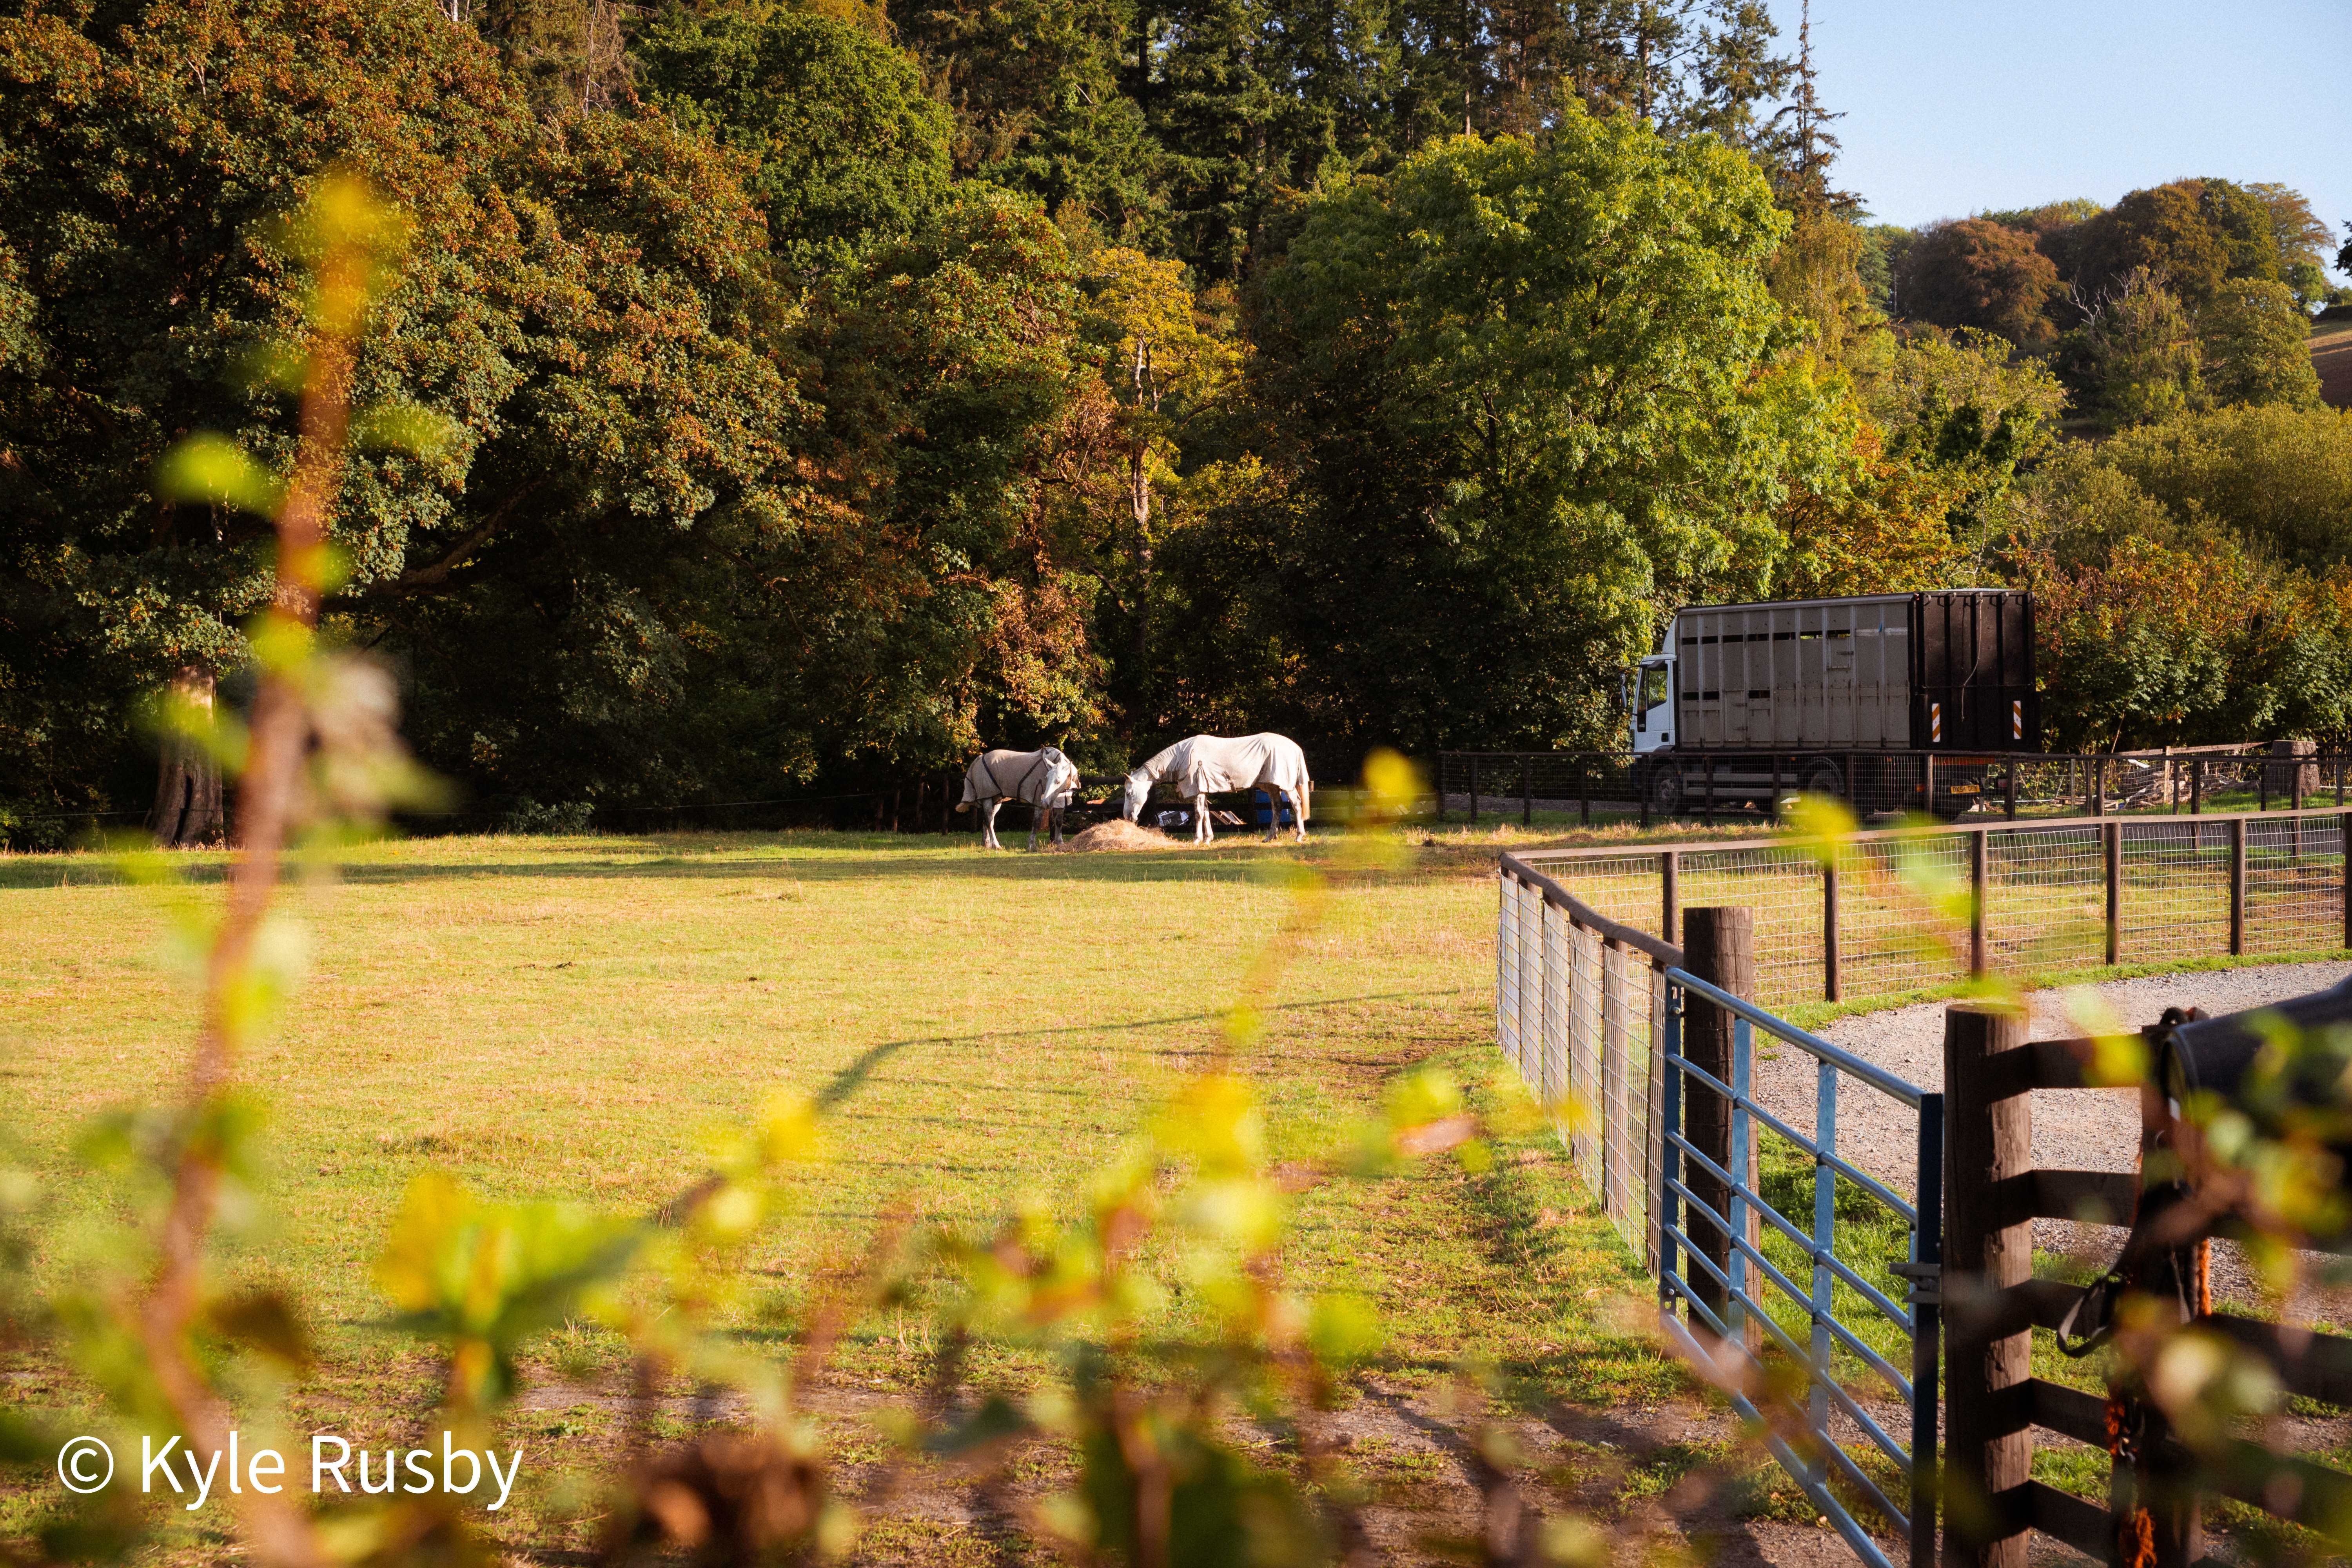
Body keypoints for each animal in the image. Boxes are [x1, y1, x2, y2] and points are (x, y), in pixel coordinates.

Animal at [958, 747, 1081, 850]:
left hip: (995, 799)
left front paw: (1060, 843)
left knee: (987, 820)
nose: (1045, 802)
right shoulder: (1038, 802)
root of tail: (980, 759)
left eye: (1058, 782)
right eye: (1046, 778)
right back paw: (996, 845)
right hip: (987, 798)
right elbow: (1037, 823)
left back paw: (987, 844)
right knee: (989, 821)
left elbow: (1059, 822)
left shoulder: (1061, 802)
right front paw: (1032, 846)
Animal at [1122, 734, 1311, 844]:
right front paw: (1208, 840)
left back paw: (1299, 837)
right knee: (1277, 807)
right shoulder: (1203, 790)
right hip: (1271, 786)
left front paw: (1197, 840)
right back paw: (1270, 837)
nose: (1128, 817)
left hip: (1286, 786)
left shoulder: (1197, 789)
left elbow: (1199, 814)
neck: (1183, 757)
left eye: (1129, 793)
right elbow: (1206, 813)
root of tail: (1296, 748)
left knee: (1296, 805)